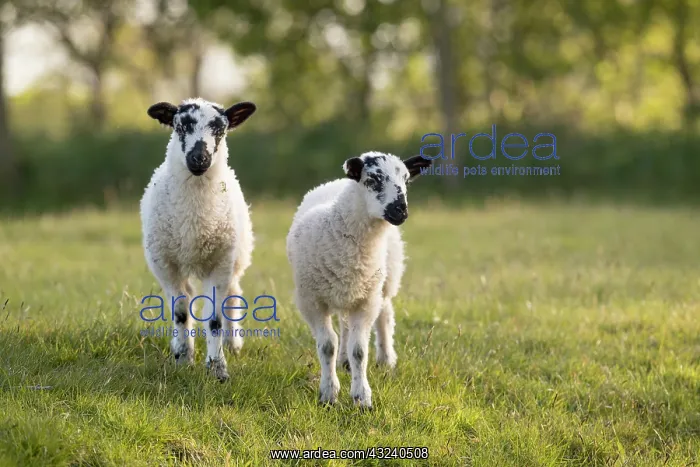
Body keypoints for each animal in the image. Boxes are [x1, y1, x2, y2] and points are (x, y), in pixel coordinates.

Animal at [140, 97, 256, 381]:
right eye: (180, 126)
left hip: (236, 256)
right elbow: (181, 312)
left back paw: (232, 343)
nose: (199, 158)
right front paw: (183, 359)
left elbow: (214, 318)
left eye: (220, 129)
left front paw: (218, 368)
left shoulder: (220, 263)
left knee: (233, 295)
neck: (194, 221)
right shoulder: (166, 265)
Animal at [286, 151, 432, 408]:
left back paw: (385, 359)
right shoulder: (311, 301)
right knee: (344, 327)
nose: (401, 211)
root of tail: (338, 181)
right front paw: (329, 394)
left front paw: (362, 397)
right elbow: (327, 346)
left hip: (384, 282)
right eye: (372, 179)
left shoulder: (366, 301)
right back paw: (343, 362)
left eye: (406, 180)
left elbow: (359, 350)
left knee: (385, 316)